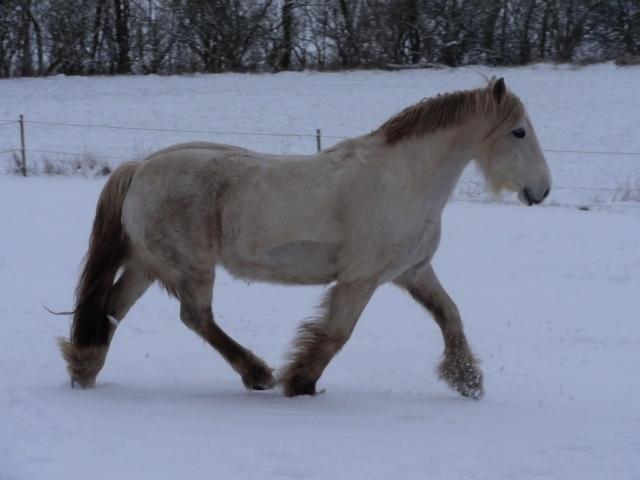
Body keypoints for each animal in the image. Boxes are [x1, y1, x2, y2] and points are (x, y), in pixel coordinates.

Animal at [58, 78, 552, 398]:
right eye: (518, 131)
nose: (542, 190)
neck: (402, 180)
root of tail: (140, 167)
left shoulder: (414, 271)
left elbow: (450, 316)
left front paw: (468, 380)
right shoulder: (360, 280)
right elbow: (336, 333)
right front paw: (300, 383)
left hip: (147, 264)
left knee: (111, 309)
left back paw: (85, 368)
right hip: (189, 266)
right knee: (195, 317)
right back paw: (258, 374)